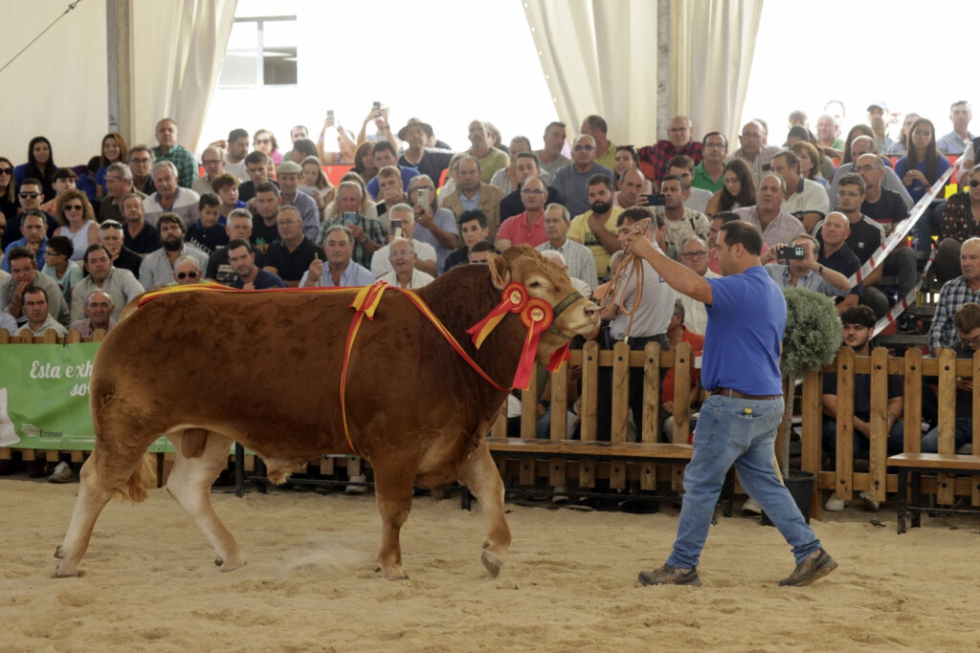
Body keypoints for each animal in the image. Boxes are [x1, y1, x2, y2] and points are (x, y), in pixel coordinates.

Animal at [59, 247, 596, 580]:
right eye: (535, 284)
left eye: (563, 276)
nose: (591, 309)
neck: (445, 342)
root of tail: (143, 306)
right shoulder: (396, 446)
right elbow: (395, 508)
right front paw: (392, 564)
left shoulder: (463, 438)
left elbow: (492, 489)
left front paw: (496, 552)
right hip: (127, 425)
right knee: (96, 481)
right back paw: (68, 558)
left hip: (207, 432)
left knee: (187, 487)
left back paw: (231, 555)